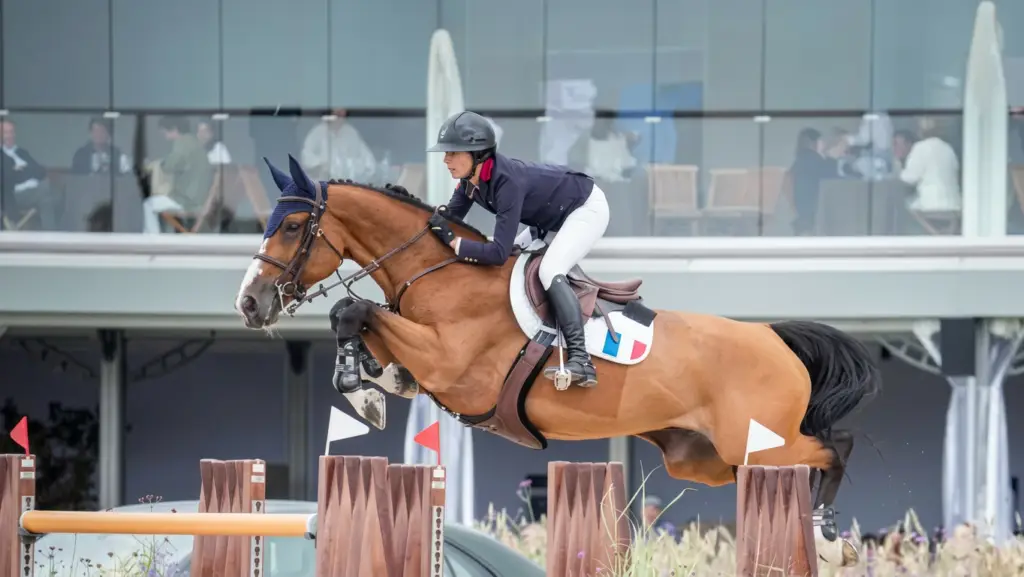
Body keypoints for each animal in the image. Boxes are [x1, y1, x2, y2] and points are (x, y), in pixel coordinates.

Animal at [235, 156, 880, 565]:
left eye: (293, 226)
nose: (249, 303)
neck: (442, 273)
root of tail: (772, 337)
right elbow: (367, 327)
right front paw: (370, 381)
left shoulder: (454, 367)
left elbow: (352, 308)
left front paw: (358, 380)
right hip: (706, 459)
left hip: (756, 443)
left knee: (835, 446)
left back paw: (829, 539)